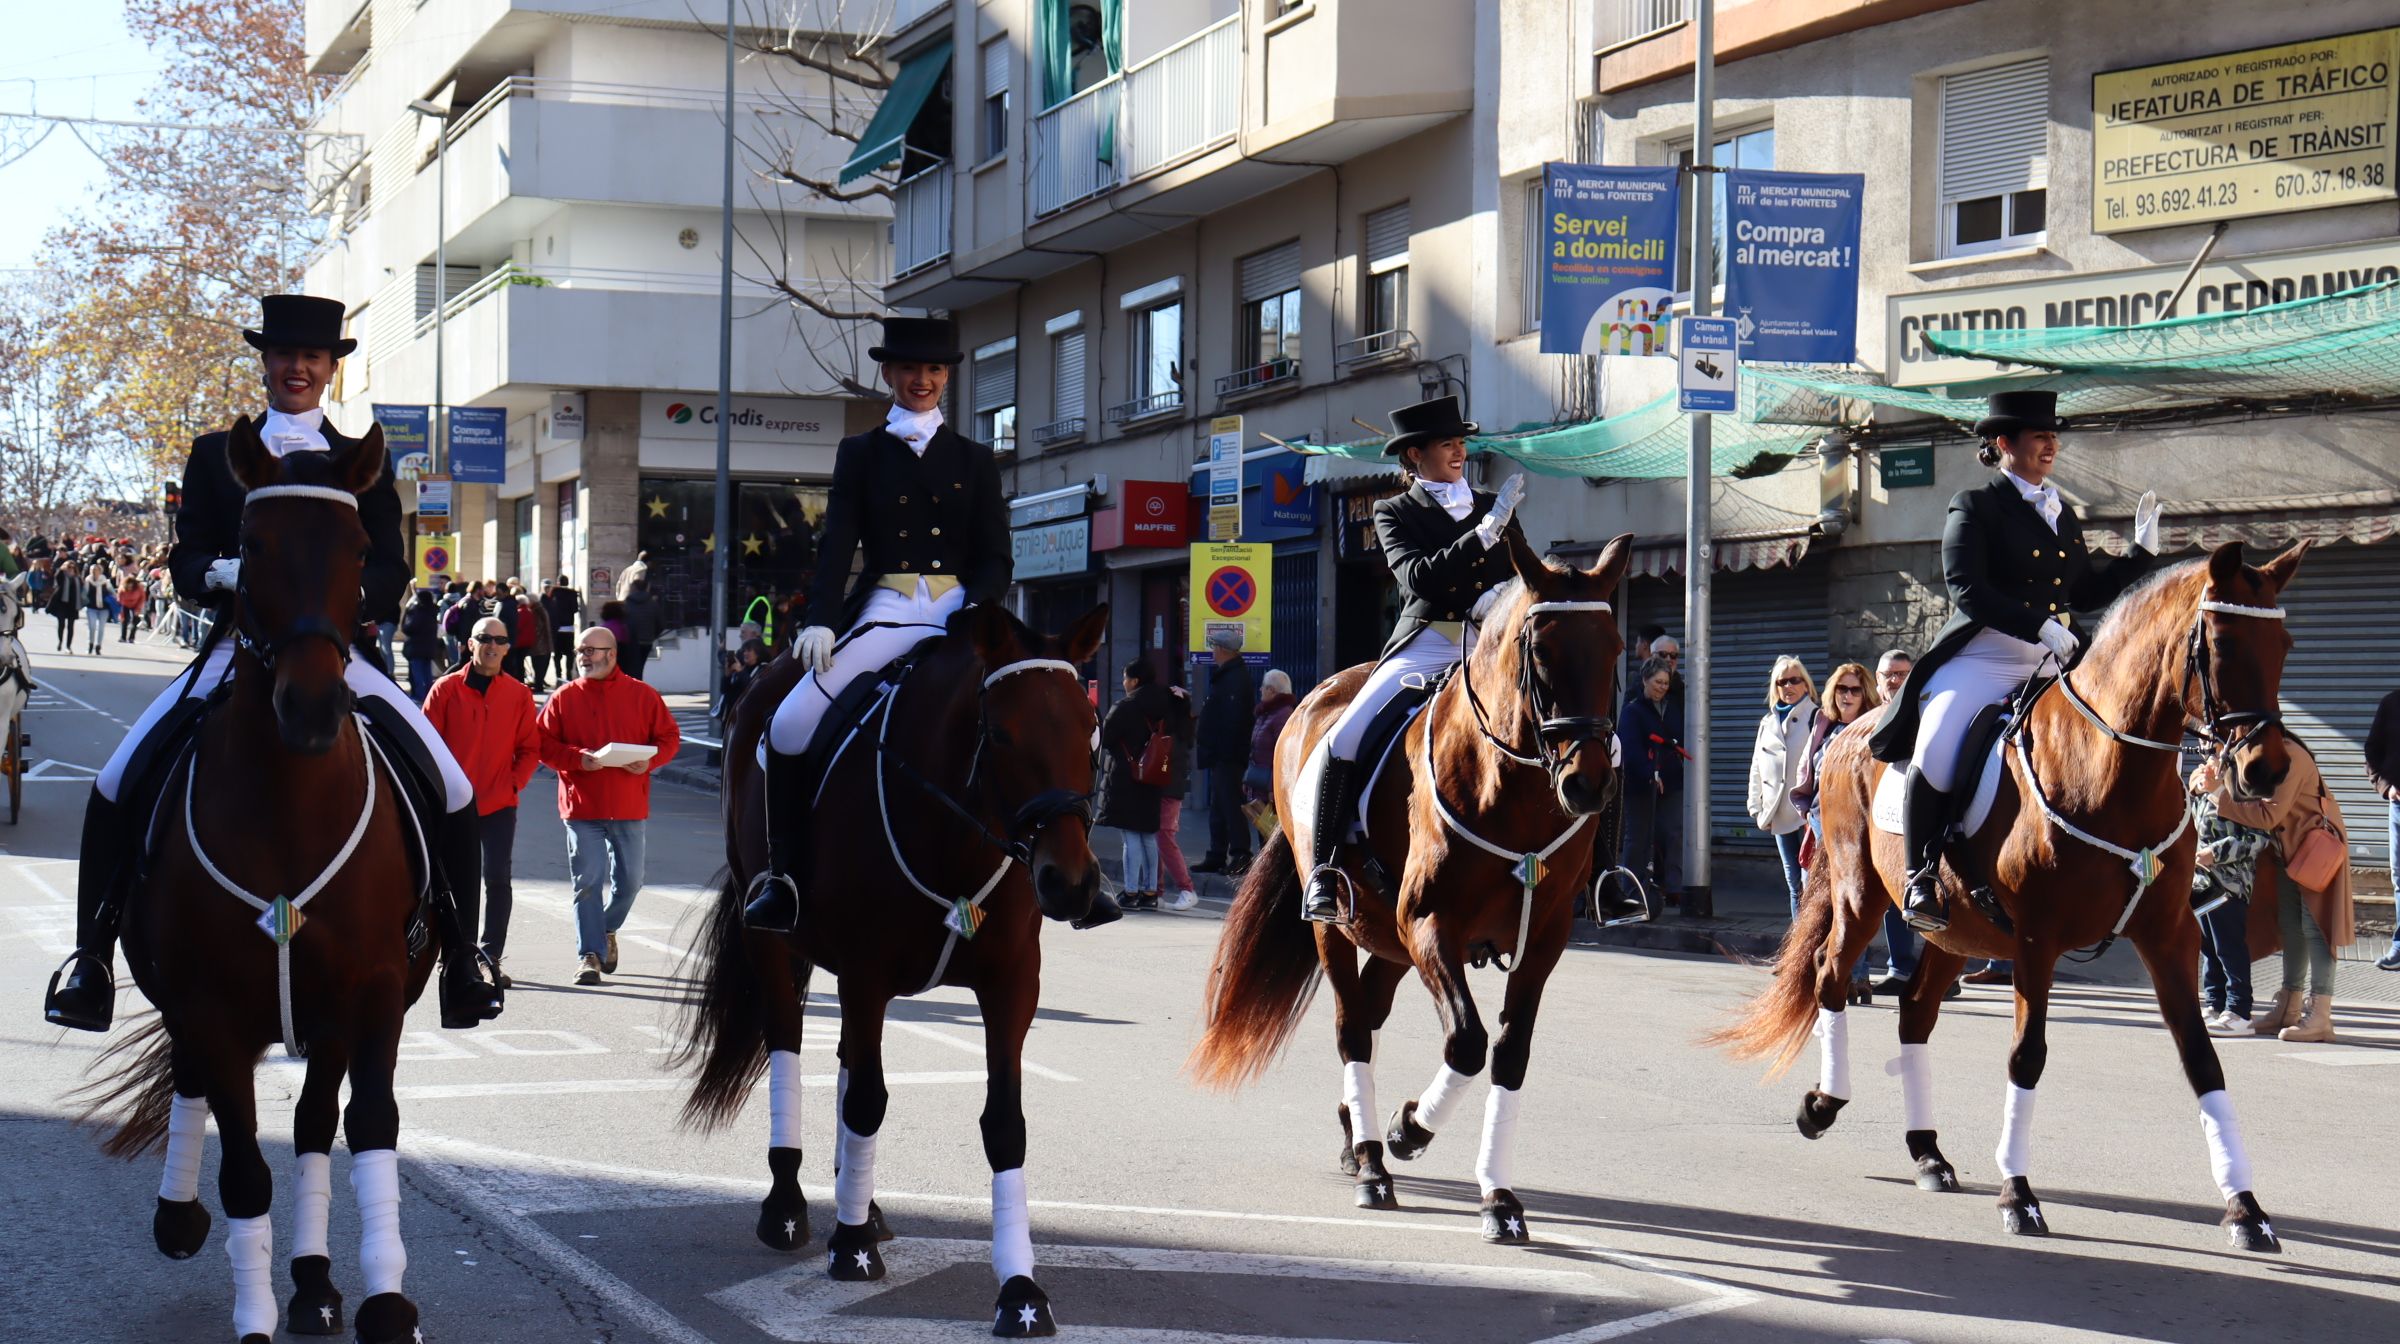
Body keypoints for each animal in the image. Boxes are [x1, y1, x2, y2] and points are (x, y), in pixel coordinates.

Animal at [73, 420, 441, 1344]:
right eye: (251, 543)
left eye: (359, 549)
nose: (309, 710)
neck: (289, 805)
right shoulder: (212, 1005)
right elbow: (244, 1171)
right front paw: (255, 1320)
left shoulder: (371, 991)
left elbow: (368, 1126)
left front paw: (387, 1302)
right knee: (196, 1085)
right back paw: (182, 1221)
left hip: (326, 1016)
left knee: (312, 1124)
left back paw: (313, 1282)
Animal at [681, 604, 1108, 1334]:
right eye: (1000, 732)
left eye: (1090, 727)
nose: (1070, 883)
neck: (955, 833)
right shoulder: (866, 973)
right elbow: (866, 1099)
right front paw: (850, 1248)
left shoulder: (1011, 987)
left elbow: (1004, 1125)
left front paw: (1020, 1291)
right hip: (770, 937)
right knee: (787, 1043)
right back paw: (790, 1207)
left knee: (846, 1060)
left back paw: (865, 1205)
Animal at [1185, 532, 1632, 1238]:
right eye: (1540, 651)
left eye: (1613, 648)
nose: (1588, 784)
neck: (1514, 793)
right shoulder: (1429, 923)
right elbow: (1468, 1042)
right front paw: (1407, 1130)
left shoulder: (1544, 938)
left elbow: (1509, 1053)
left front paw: (1499, 1198)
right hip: (1339, 927)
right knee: (1351, 1026)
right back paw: (1373, 1162)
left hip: (1390, 942)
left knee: (1369, 1016)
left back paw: (1355, 1134)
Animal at [1708, 540, 2304, 1257]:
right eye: (2220, 644)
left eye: (2284, 644)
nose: (2266, 771)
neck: (2110, 770)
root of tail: (1848, 732)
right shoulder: (2036, 940)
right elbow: (2028, 1054)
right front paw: (2018, 1194)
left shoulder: (2170, 937)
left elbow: (2202, 1060)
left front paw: (2247, 1208)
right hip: (1862, 896)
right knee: (1830, 977)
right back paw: (1824, 1103)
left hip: (1952, 930)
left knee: (1915, 1013)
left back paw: (1927, 1153)